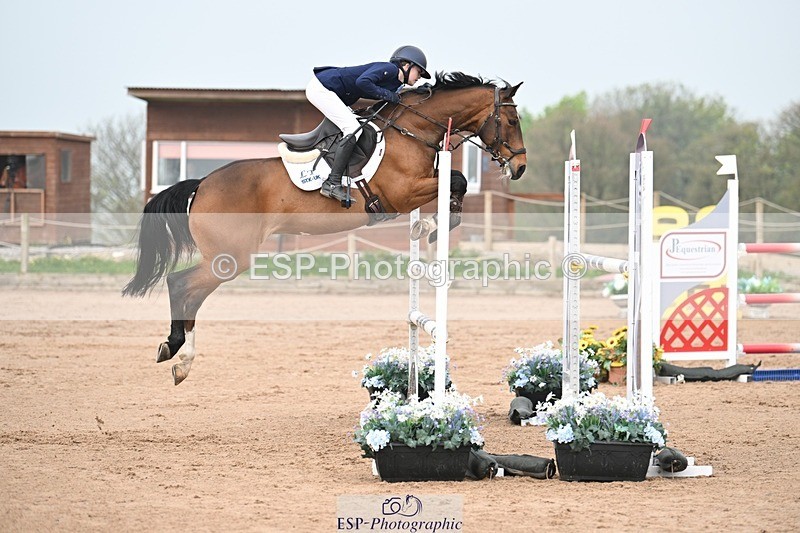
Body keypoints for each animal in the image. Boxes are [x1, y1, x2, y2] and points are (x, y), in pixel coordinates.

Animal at [122, 72, 528, 385]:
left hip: (226, 257)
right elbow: (457, 180)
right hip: (230, 257)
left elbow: (455, 184)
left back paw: (177, 355)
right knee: (182, 285)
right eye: (511, 122)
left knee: (187, 290)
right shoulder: (401, 192)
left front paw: (430, 225)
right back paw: (177, 354)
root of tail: (202, 184)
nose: (520, 167)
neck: (411, 130)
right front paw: (432, 226)